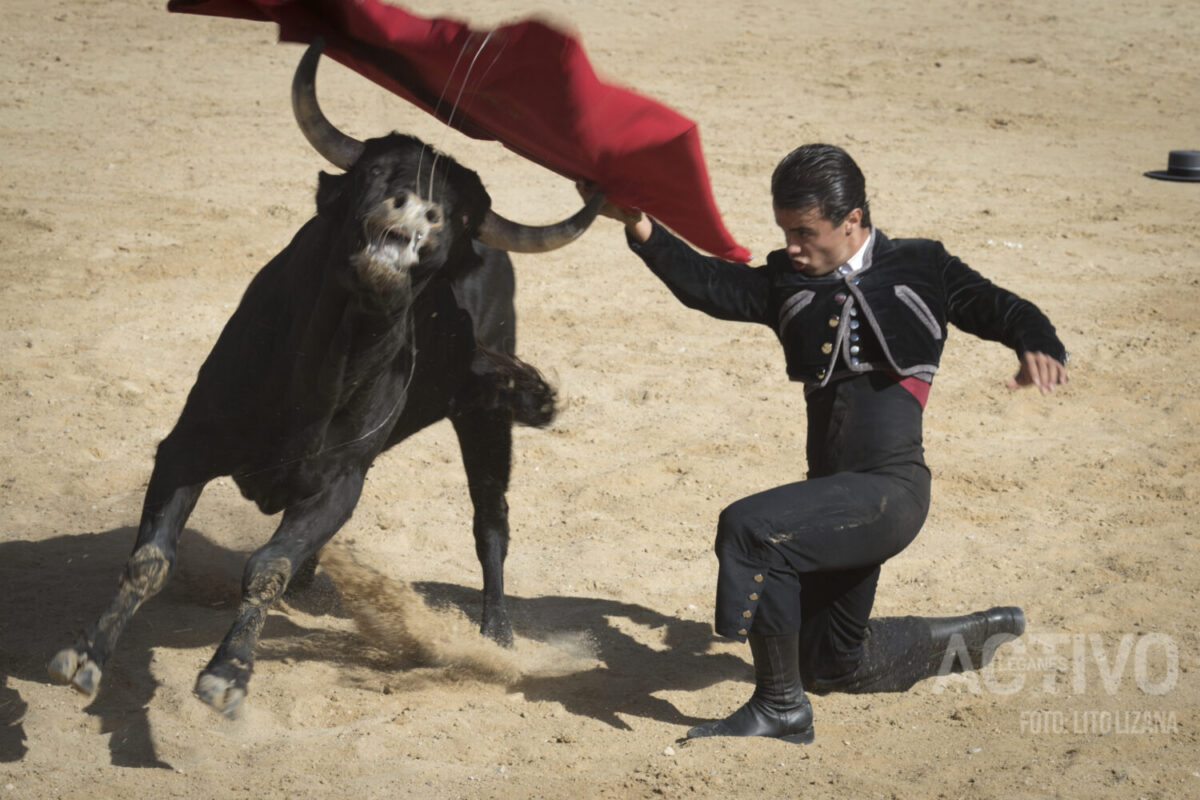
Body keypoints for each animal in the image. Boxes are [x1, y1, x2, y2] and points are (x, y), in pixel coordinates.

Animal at [49, 42, 600, 719]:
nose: (421, 210)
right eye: (378, 172)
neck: (320, 379)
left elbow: (268, 565)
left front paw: (228, 672)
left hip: (486, 416)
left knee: (490, 518)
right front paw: (87, 656)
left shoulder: (341, 482)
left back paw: (495, 633)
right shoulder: (186, 447)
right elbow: (151, 559)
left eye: (462, 213)